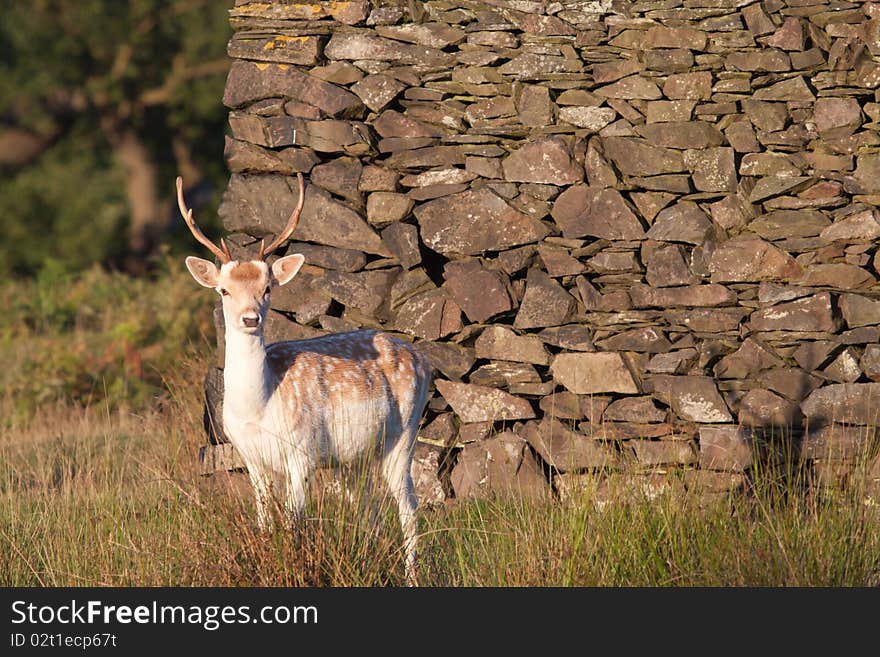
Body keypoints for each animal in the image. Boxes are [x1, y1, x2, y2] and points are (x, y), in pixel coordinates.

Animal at [179, 172, 434, 580]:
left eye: (268, 288)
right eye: (223, 290)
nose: (250, 318)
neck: (259, 407)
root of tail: (423, 358)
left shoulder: (302, 451)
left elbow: (293, 523)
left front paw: (294, 566)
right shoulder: (250, 458)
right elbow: (265, 522)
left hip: (406, 434)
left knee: (409, 506)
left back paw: (412, 575)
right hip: (353, 458)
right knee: (372, 511)